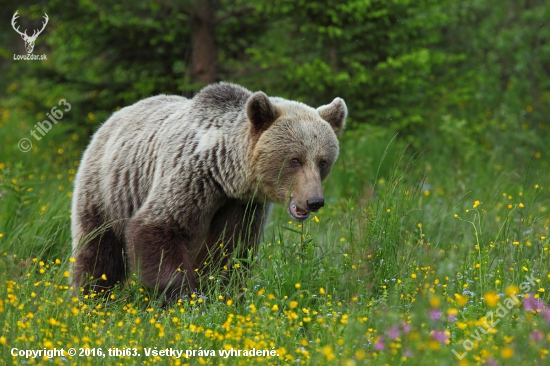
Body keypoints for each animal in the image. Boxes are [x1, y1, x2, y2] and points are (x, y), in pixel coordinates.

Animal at [71, 82, 348, 300]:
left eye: (323, 161)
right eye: (295, 160)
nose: (314, 201)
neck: (227, 176)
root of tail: (113, 118)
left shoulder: (242, 206)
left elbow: (230, 250)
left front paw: (222, 293)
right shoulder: (192, 179)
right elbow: (157, 228)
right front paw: (185, 295)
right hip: (108, 189)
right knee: (97, 248)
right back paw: (90, 297)